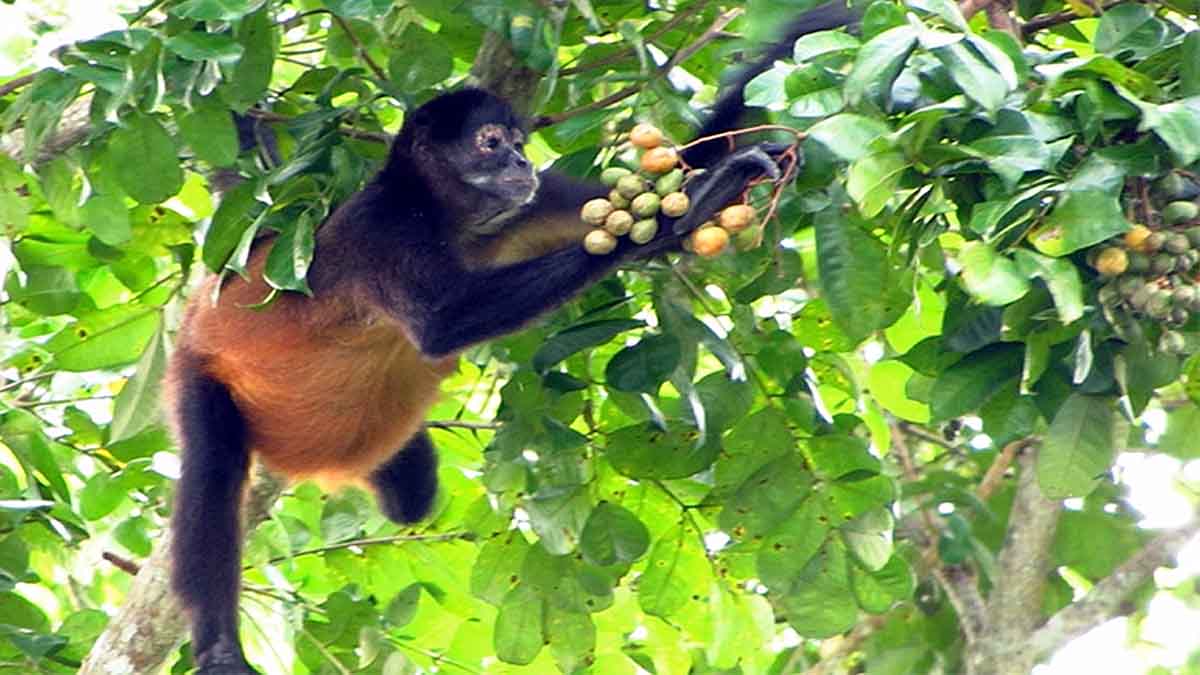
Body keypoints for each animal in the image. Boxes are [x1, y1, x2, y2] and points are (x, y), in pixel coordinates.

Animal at [165, 5, 861, 673]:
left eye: (520, 144)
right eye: (490, 143)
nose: (521, 160)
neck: (449, 222)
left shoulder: (532, 201)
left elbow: (681, 165)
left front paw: (820, 26)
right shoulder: (381, 231)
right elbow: (445, 324)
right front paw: (687, 213)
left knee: (410, 493)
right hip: (200, 369)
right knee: (214, 470)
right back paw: (220, 651)